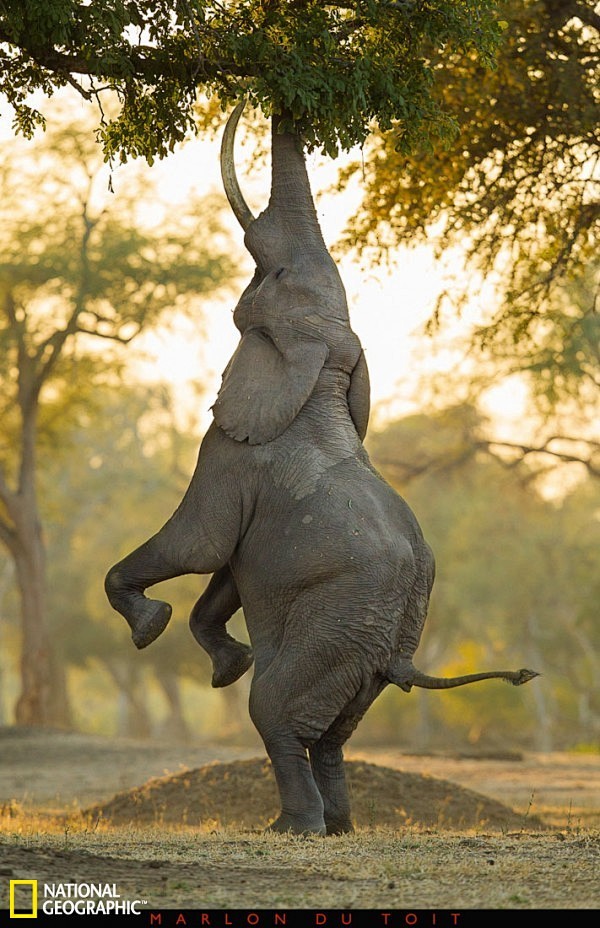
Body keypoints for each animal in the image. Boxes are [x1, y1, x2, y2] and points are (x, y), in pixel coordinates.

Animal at [104, 105, 540, 836]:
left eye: (271, 276)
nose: (260, 96)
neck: (323, 366)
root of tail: (399, 652)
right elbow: (227, 573)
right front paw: (224, 665)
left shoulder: (230, 450)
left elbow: (201, 545)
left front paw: (150, 626)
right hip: (365, 644)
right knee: (335, 732)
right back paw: (339, 825)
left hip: (336, 623)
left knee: (276, 711)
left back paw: (294, 827)